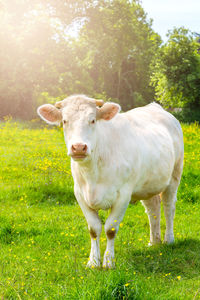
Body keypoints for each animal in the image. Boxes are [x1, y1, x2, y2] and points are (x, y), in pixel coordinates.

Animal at [37, 95, 184, 268]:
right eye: (65, 121)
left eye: (93, 120)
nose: (78, 147)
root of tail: (155, 107)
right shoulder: (80, 194)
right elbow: (94, 229)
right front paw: (93, 262)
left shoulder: (123, 195)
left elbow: (110, 229)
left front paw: (108, 262)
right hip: (148, 184)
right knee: (153, 208)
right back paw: (154, 242)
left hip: (175, 175)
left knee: (169, 207)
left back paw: (169, 239)